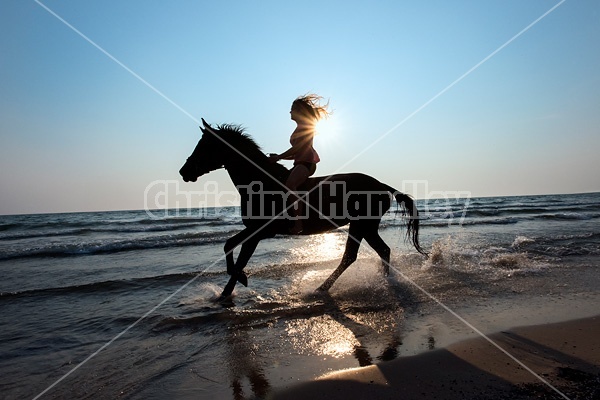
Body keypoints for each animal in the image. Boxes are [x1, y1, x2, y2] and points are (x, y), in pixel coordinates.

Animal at [178, 119, 426, 300]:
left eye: (205, 146)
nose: (184, 172)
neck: (259, 182)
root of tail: (382, 184)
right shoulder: (255, 230)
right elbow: (229, 245)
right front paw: (233, 286)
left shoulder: (260, 231)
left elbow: (239, 257)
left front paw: (231, 288)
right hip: (367, 226)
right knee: (380, 251)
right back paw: (382, 281)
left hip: (362, 224)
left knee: (351, 256)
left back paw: (322, 288)